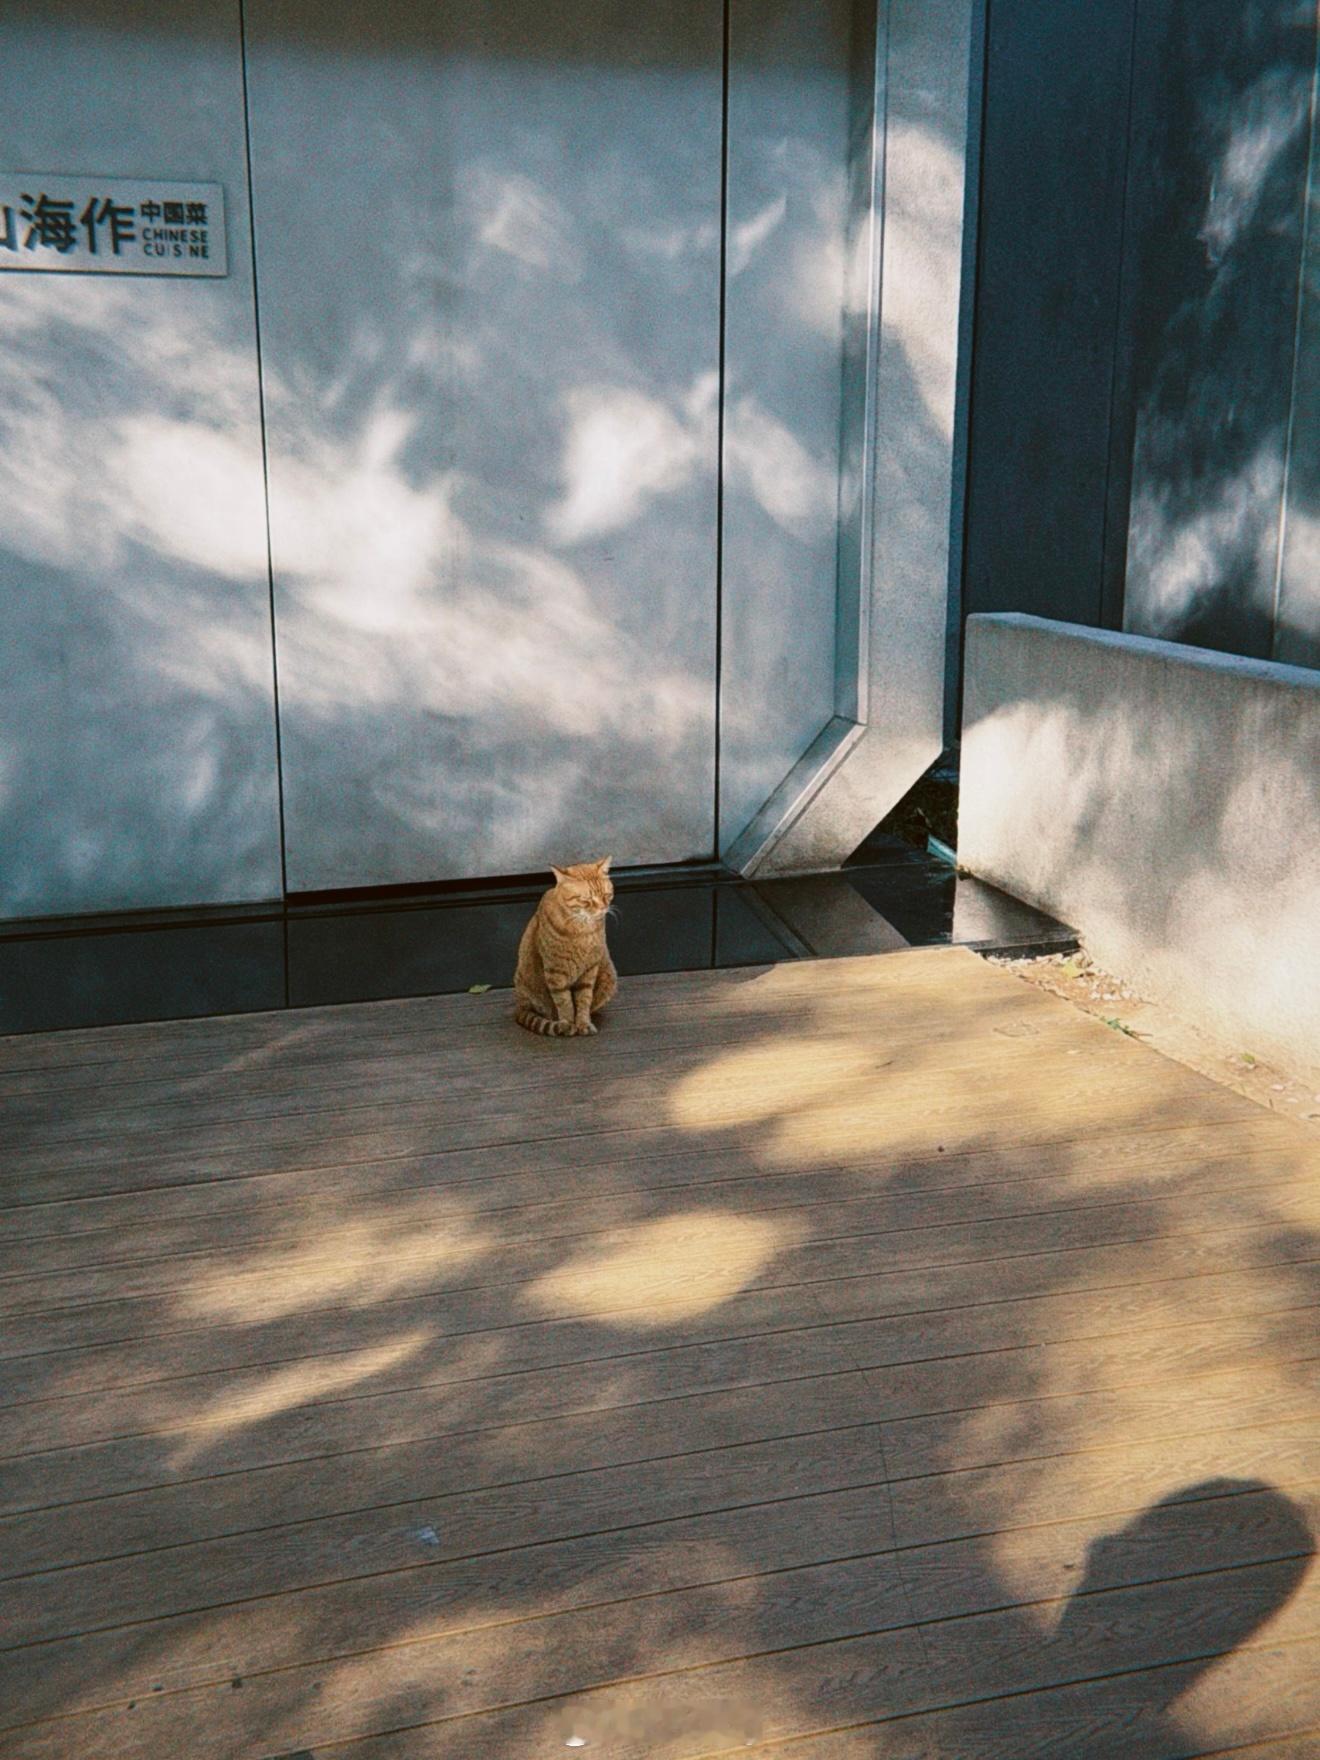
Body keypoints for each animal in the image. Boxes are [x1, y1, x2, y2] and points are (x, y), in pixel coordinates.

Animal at [513, 858, 617, 1037]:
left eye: (606, 895)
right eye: (586, 901)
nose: (603, 909)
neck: (582, 929)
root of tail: (521, 1003)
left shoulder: (589, 970)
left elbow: (584, 1001)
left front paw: (583, 1023)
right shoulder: (556, 972)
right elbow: (564, 1003)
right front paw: (568, 1024)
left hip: (608, 974)